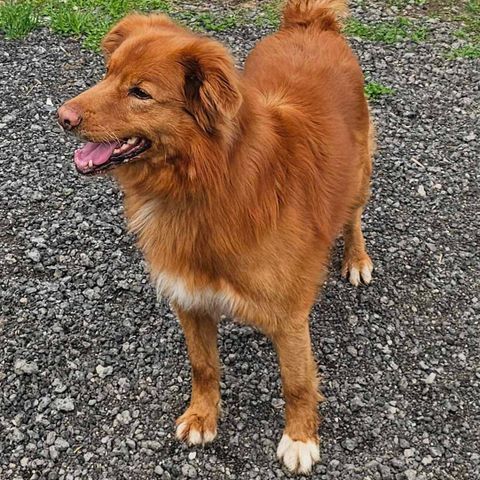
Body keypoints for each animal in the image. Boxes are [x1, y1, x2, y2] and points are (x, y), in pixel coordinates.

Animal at [58, 0, 376, 472]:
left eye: (140, 93)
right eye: (107, 73)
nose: (62, 117)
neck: (202, 184)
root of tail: (309, 22)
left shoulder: (289, 316)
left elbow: (297, 382)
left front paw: (301, 439)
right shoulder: (189, 298)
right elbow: (203, 366)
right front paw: (202, 416)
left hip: (357, 175)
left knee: (353, 216)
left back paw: (356, 258)